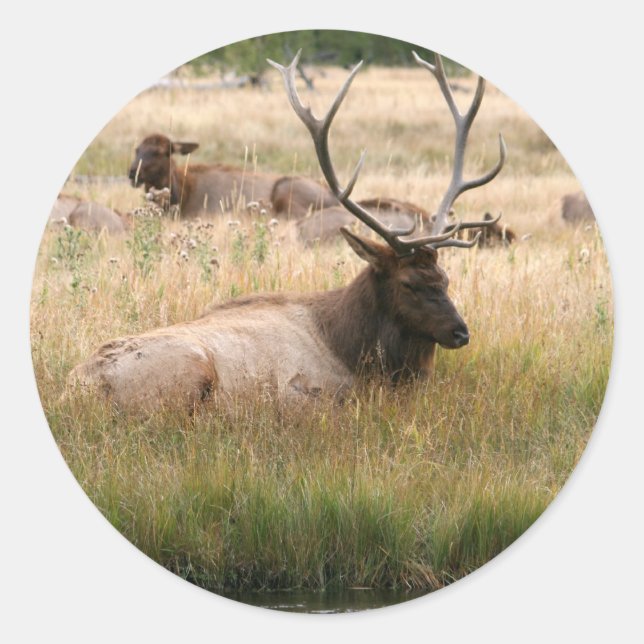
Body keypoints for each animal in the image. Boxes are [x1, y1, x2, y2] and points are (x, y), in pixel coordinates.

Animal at [67, 51, 505, 413]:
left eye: (445, 279)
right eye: (410, 284)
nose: (460, 332)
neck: (351, 347)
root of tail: (80, 386)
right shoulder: (307, 391)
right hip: (190, 367)